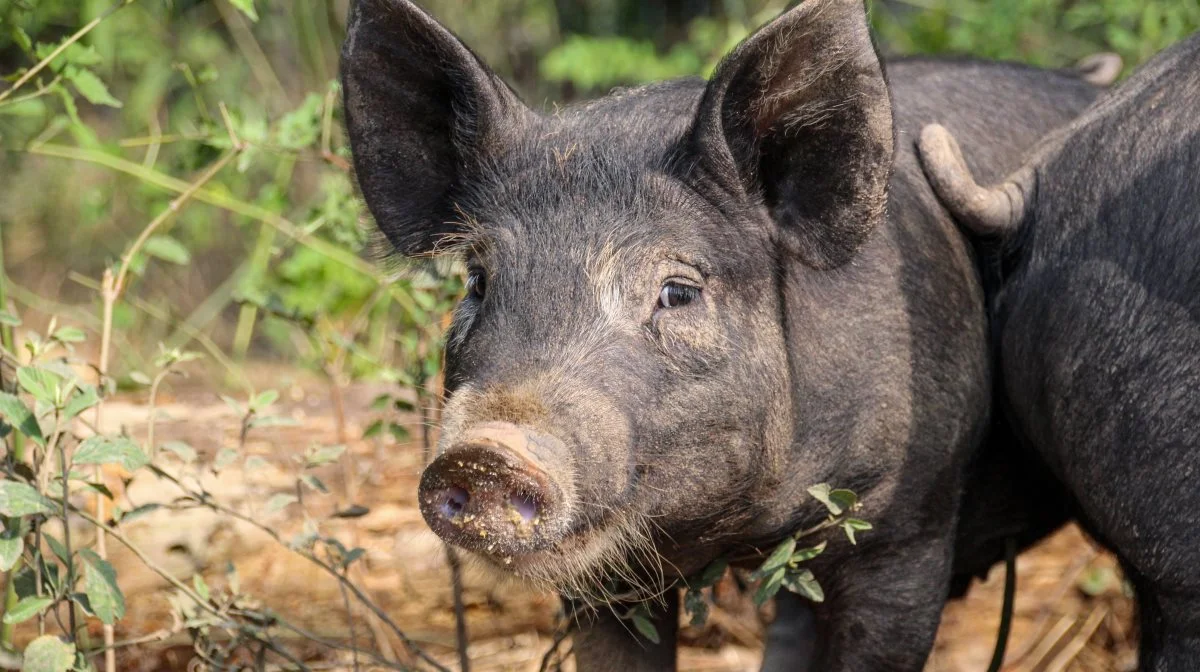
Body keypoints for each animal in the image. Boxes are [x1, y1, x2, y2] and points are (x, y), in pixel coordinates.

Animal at [340, 0, 1104, 667]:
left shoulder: (911, 526)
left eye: (678, 291)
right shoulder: (605, 586)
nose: (485, 455)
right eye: (477, 280)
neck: (741, 533)